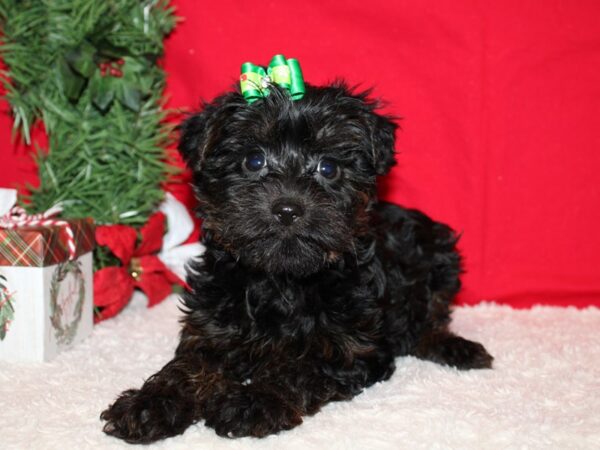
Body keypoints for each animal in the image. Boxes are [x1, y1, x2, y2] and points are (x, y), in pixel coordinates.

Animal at [99, 81, 492, 442]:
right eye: (254, 161)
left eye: (328, 167)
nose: (287, 209)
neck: (281, 280)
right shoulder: (211, 328)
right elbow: (186, 366)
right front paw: (150, 404)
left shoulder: (351, 348)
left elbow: (298, 366)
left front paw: (252, 401)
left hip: (440, 255)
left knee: (429, 320)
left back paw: (458, 348)